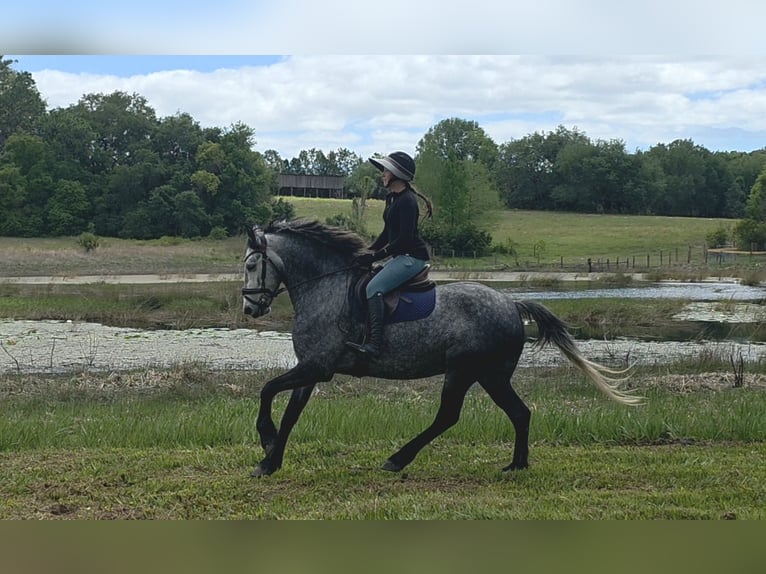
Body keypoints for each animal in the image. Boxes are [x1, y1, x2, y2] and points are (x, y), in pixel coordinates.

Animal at [241, 218, 640, 477]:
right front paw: (271, 459)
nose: (249, 308)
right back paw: (516, 465)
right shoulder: (310, 368)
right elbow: (290, 412)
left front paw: (265, 444)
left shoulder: (317, 367)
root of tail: (511, 304)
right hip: (491, 375)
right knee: (519, 413)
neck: (326, 287)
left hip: (463, 371)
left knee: (449, 416)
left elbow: (267, 390)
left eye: (251, 264)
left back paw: (398, 459)